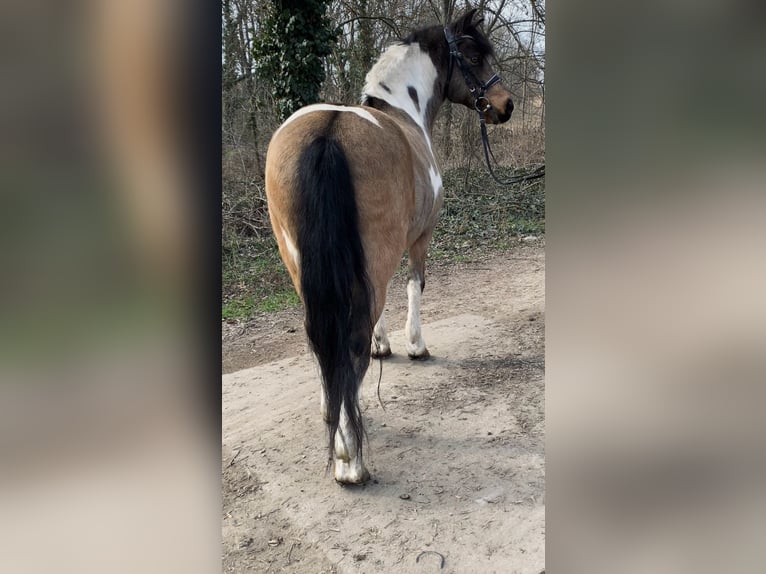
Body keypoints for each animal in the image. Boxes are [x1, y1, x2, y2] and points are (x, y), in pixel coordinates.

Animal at [266, 10, 516, 486]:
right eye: (475, 56)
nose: (506, 103)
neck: (401, 111)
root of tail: (328, 135)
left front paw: (384, 345)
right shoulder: (420, 237)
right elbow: (415, 287)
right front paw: (415, 346)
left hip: (303, 269)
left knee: (324, 341)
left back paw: (332, 410)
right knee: (350, 343)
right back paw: (349, 459)